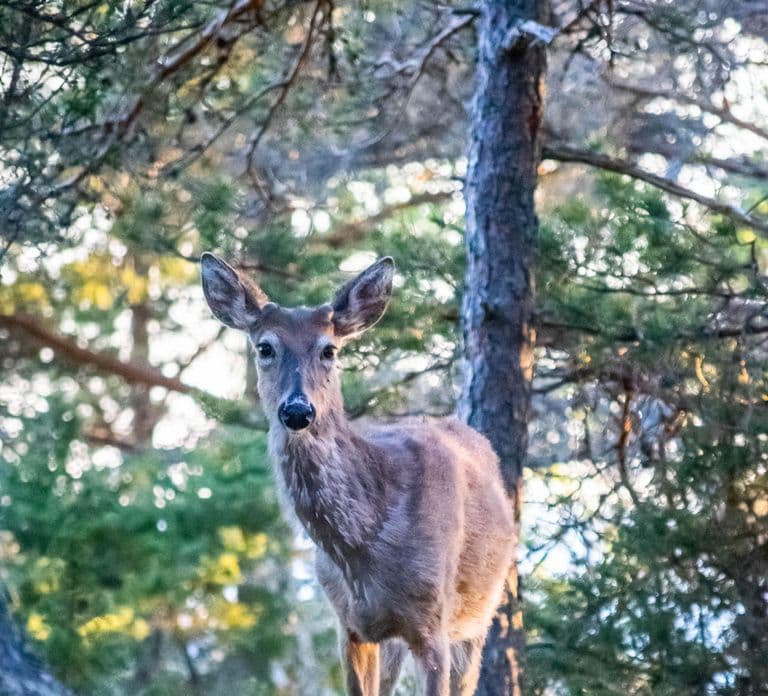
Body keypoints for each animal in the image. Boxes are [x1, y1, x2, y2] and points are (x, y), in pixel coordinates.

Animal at [200, 253, 515, 696]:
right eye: (265, 347)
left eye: (329, 350)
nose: (297, 410)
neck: (362, 549)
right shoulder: (350, 626)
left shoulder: (434, 623)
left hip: (476, 619)